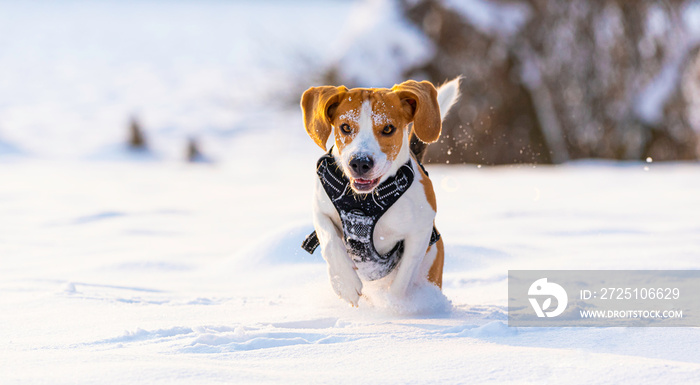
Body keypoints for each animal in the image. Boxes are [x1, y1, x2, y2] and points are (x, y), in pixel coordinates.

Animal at [300, 79, 460, 306]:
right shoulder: (320, 209)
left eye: (388, 129)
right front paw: (344, 283)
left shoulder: (420, 231)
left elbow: (402, 281)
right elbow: (329, 241)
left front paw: (392, 306)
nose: (360, 162)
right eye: (345, 127)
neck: (365, 201)